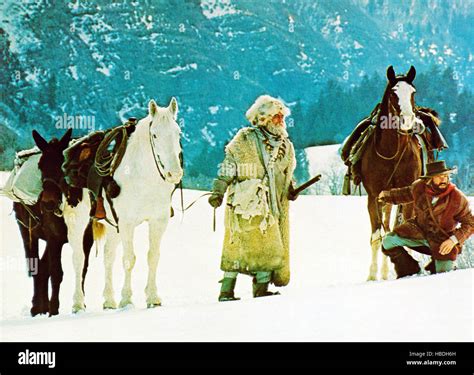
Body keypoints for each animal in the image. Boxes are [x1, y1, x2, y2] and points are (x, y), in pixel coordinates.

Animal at [360, 65, 426, 282]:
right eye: (393, 93)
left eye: (413, 92)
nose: (408, 122)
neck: (391, 152)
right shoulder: (373, 197)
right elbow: (376, 236)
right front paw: (372, 274)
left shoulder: (409, 195)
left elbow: (407, 229)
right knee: (385, 228)